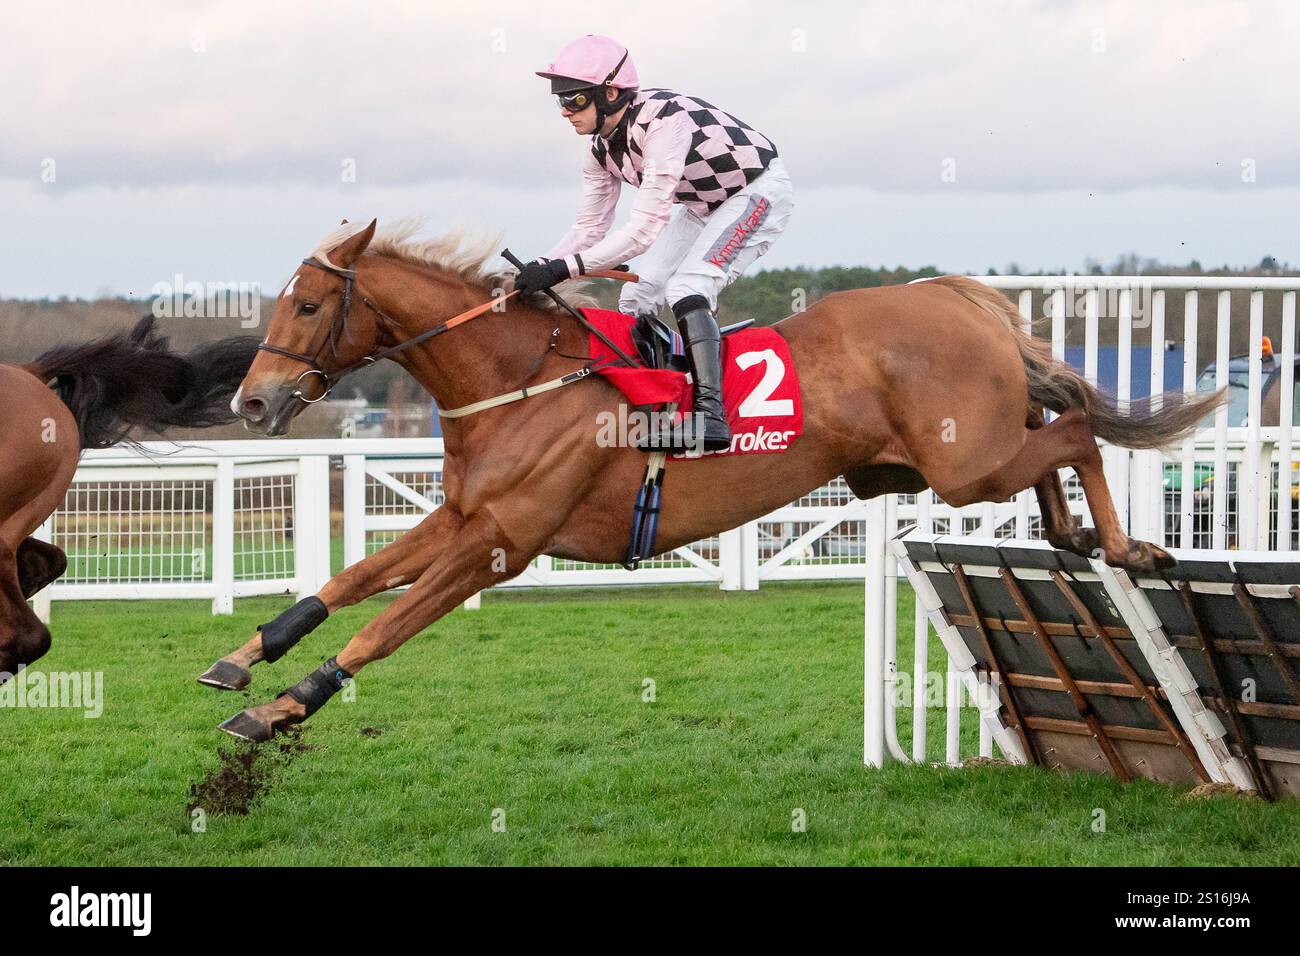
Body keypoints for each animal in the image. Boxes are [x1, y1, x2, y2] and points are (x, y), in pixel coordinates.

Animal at [208, 221, 1222, 743]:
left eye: (309, 304)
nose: (252, 402)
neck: (519, 379)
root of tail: (952, 293)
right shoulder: (460, 517)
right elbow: (344, 582)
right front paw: (245, 658)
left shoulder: (500, 543)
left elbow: (381, 626)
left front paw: (281, 706)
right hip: (967, 455)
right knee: (1055, 431)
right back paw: (1077, 535)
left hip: (966, 462)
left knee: (1079, 429)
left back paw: (1126, 542)